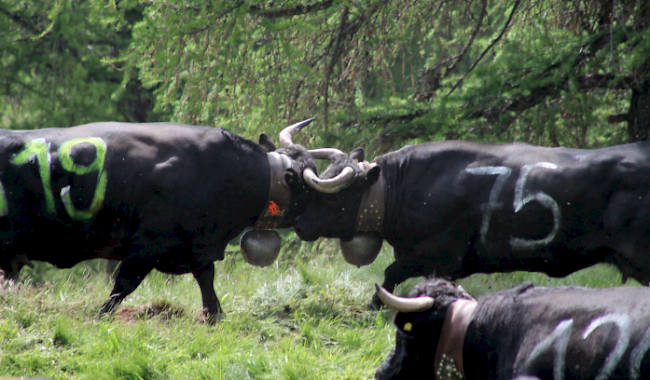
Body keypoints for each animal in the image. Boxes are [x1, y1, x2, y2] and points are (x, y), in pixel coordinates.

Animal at [0, 119, 316, 324]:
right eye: (307, 186)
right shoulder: (146, 248)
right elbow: (123, 286)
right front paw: (101, 315)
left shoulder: (198, 249)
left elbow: (207, 283)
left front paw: (215, 316)